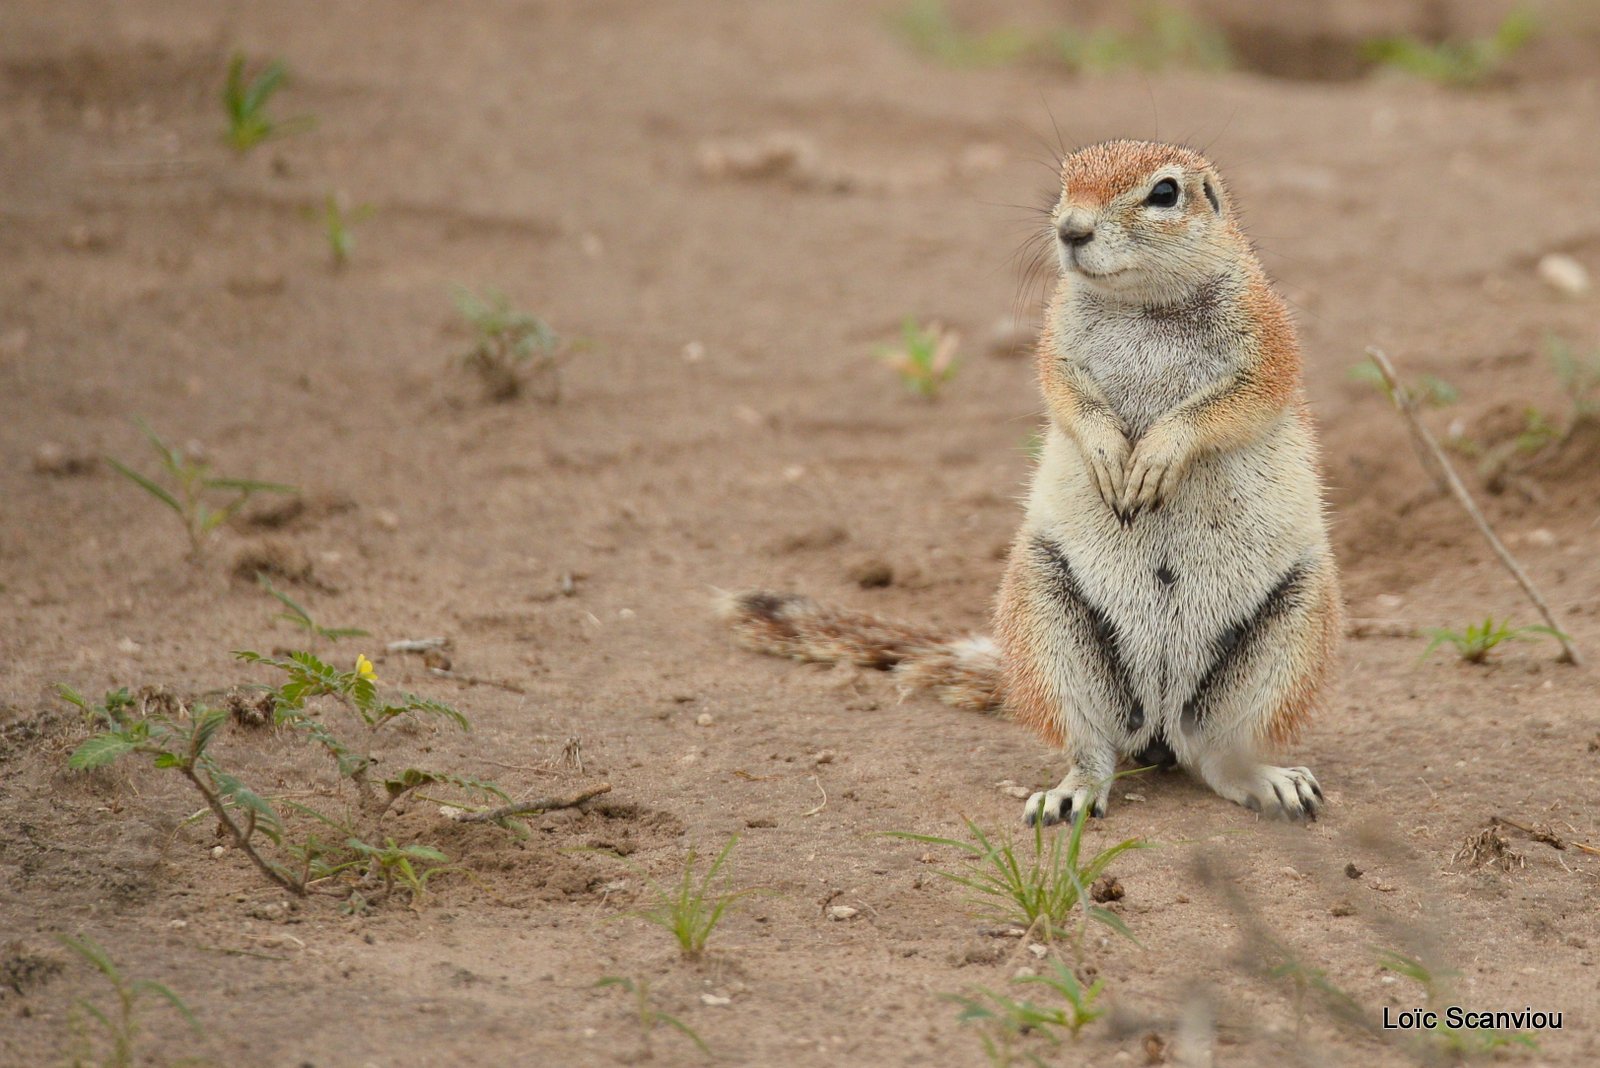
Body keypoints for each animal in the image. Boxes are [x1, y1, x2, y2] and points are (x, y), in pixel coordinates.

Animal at [723, 139, 1337, 824]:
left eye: (1165, 193)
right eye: (1066, 182)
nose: (1070, 230)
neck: (1141, 302)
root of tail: (1158, 726)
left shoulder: (1268, 339)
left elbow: (1232, 405)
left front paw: (1157, 454)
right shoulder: (1054, 342)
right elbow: (1065, 394)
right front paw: (1106, 452)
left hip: (1292, 632)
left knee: (1219, 757)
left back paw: (1268, 781)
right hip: (1047, 618)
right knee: (1097, 750)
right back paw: (1072, 791)